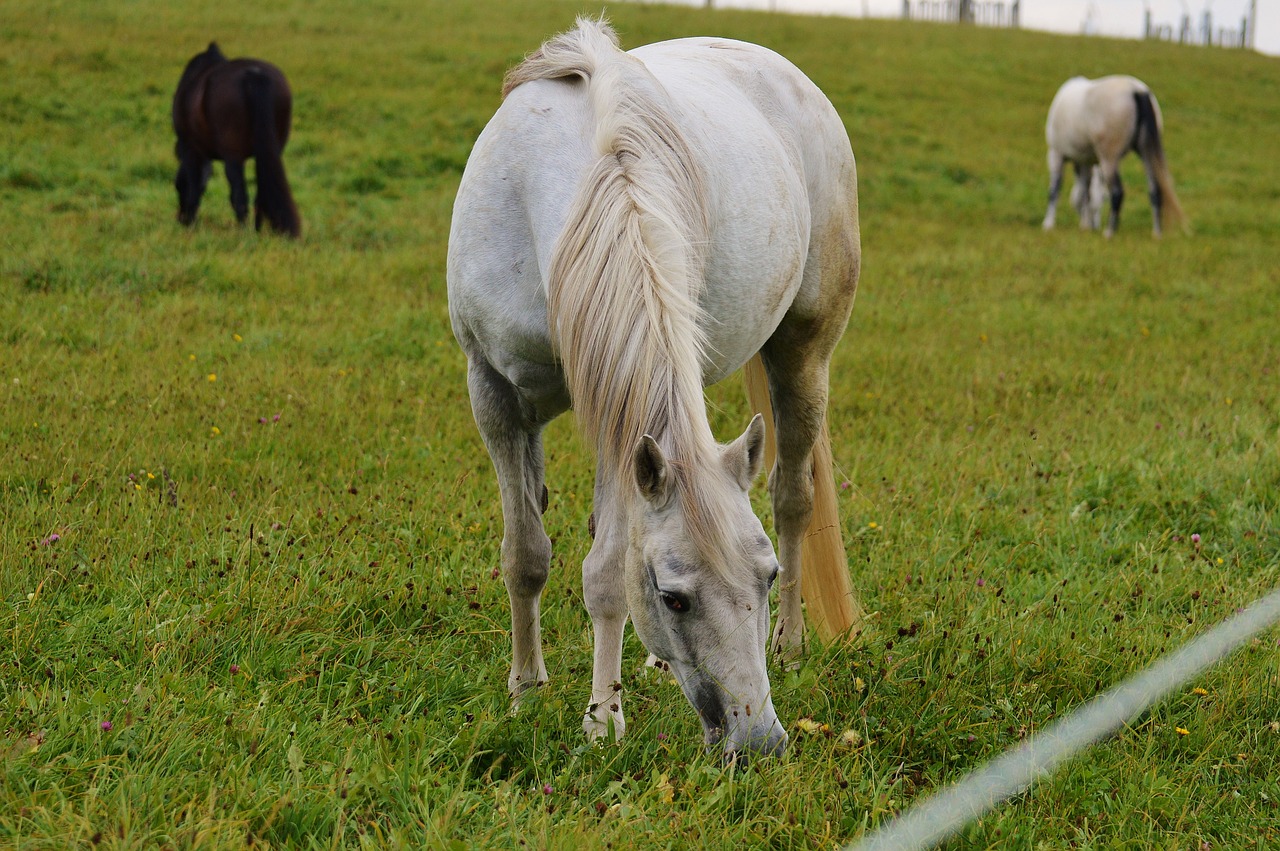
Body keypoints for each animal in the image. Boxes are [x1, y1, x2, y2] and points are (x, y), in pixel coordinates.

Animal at [171, 43, 300, 235]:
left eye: (177, 186)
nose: (181, 220)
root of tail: (254, 74)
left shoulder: (190, 149)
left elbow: (194, 188)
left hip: (233, 157)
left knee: (239, 196)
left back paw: (244, 232)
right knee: (260, 196)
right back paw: (257, 231)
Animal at [448, 18, 860, 757]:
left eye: (766, 577)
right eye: (674, 597)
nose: (760, 741)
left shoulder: (616, 413)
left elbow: (607, 570)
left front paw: (601, 719)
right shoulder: (493, 393)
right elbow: (526, 554)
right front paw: (526, 692)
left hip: (804, 355)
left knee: (793, 497)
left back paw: (789, 644)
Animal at [1044, 75, 1182, 236]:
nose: (1095, 225)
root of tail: (1137, 90)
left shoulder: (1056, 154)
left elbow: (1055, 189)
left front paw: (1048, 224)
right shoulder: (1085, 161)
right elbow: (1085, 193)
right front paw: (1086, 224)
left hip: (1109, 158)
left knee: (1117, 191)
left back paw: (1110, 231)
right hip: (1146, 152)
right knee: (1155, 189)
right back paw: (1157, 233)